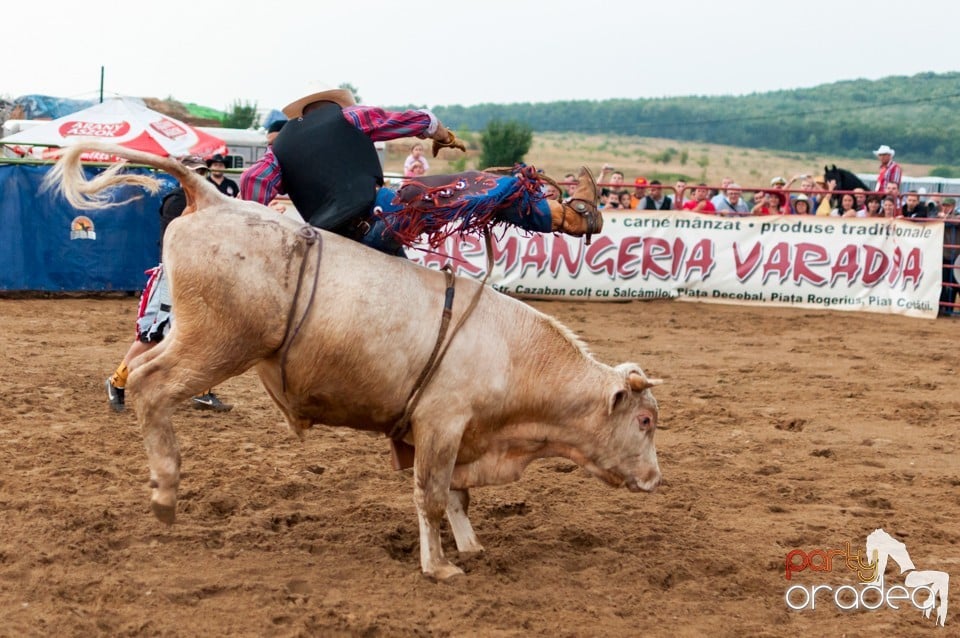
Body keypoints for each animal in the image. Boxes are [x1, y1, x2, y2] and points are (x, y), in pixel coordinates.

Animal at [45, 142, 660, 584]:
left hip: (199, 338)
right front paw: (440, 567)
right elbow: (431, 495)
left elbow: (456, 496)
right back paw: (166, 492)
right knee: (151, 384)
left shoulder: (456, 436)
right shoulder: (440, 424)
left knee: (145, 373)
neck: (513, 355)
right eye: (646, 420)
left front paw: (471, 546)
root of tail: (212, 197)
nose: (656, 479)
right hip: (217, 343)